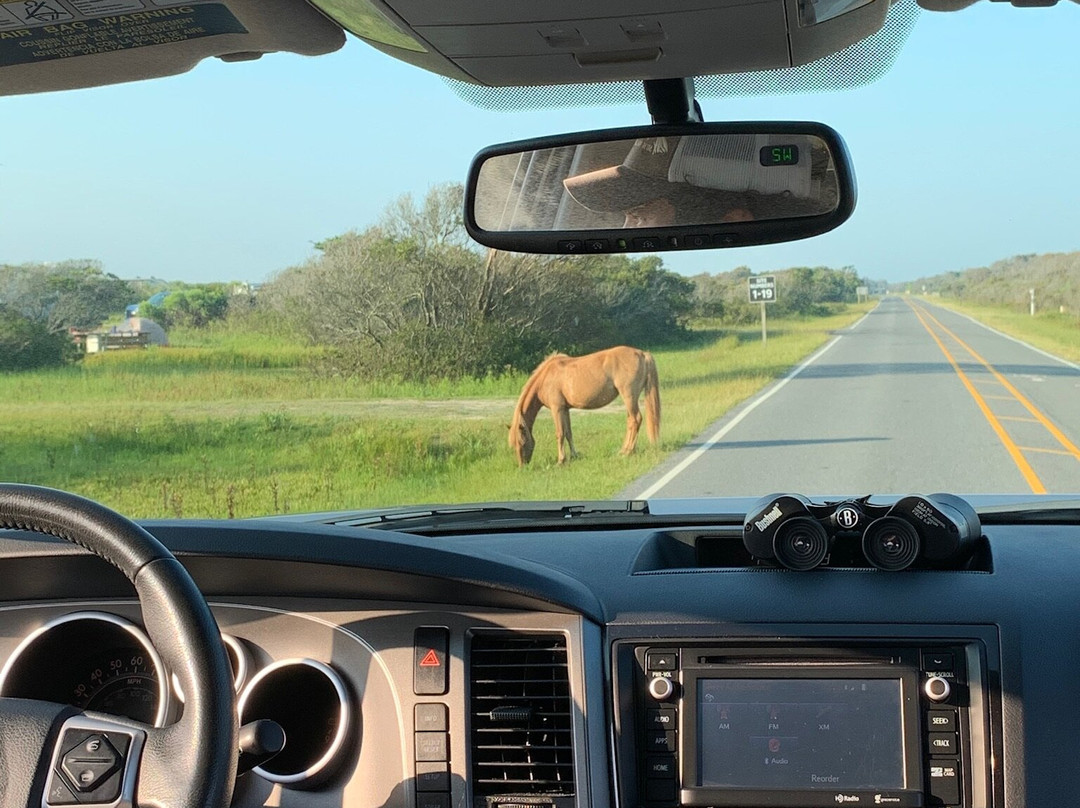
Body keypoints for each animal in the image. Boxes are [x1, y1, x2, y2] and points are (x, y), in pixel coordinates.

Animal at [509, 345, 660, 466]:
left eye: (522, 442)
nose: (523, 465)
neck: (546, 377)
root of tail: (641, 353)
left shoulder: (557, 409)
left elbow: (560, 433)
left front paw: (561, 460)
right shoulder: (565, 409)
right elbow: (568, 433)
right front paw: (574, 456)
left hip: (629, 397)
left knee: (636, 420)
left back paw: (628, 451)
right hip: (629, 400)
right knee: (630, 422)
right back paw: (624, 450)